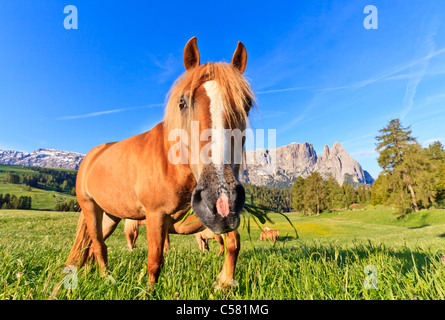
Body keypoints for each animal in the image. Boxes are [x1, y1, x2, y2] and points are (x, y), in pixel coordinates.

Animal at [65, 37, 253, 288]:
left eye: (247, 104)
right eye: (182, 102)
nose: (221, 198)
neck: (170, 165)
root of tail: (91, 156)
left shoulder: (218, 219)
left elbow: (233, 242)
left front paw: (224, 283)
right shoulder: (155, 216)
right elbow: (154, 260)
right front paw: (148, 291)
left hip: (111, 214)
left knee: (94, 244)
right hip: (90, 207)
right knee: (97, 244)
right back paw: (106, 279)